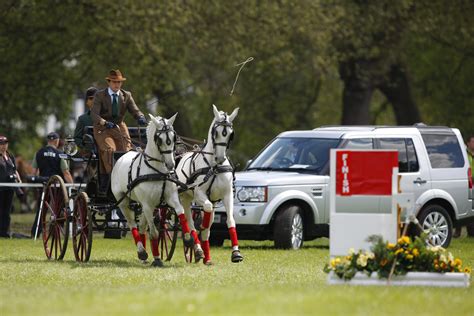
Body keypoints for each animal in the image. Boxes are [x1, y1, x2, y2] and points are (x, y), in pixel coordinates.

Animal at [112, 113, 203, 266]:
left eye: (173, 136)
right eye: (159, 139)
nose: (171, 164)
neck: (157, 171)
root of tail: (122, 156)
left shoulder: (171, 198)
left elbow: (181, 214)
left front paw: (188, 239)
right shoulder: (148, 205)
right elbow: (154, 233)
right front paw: (157, 259)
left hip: (142, 205)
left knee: (142, 226)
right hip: (123, 202)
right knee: (132, 225)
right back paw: (142, 251)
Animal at [178, 104, 244, 264]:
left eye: (230, 134)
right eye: (216, 133)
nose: (220, 158)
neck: (214, 167)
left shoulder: (227, 195)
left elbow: (230, 221)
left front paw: (236, 253)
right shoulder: (199, 194)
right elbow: (203, 216)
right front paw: (200, 228)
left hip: (212, 201)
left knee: (208, 226)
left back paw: (206, 257)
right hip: (185, 198)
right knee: (190, 223)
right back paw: (198, 249)